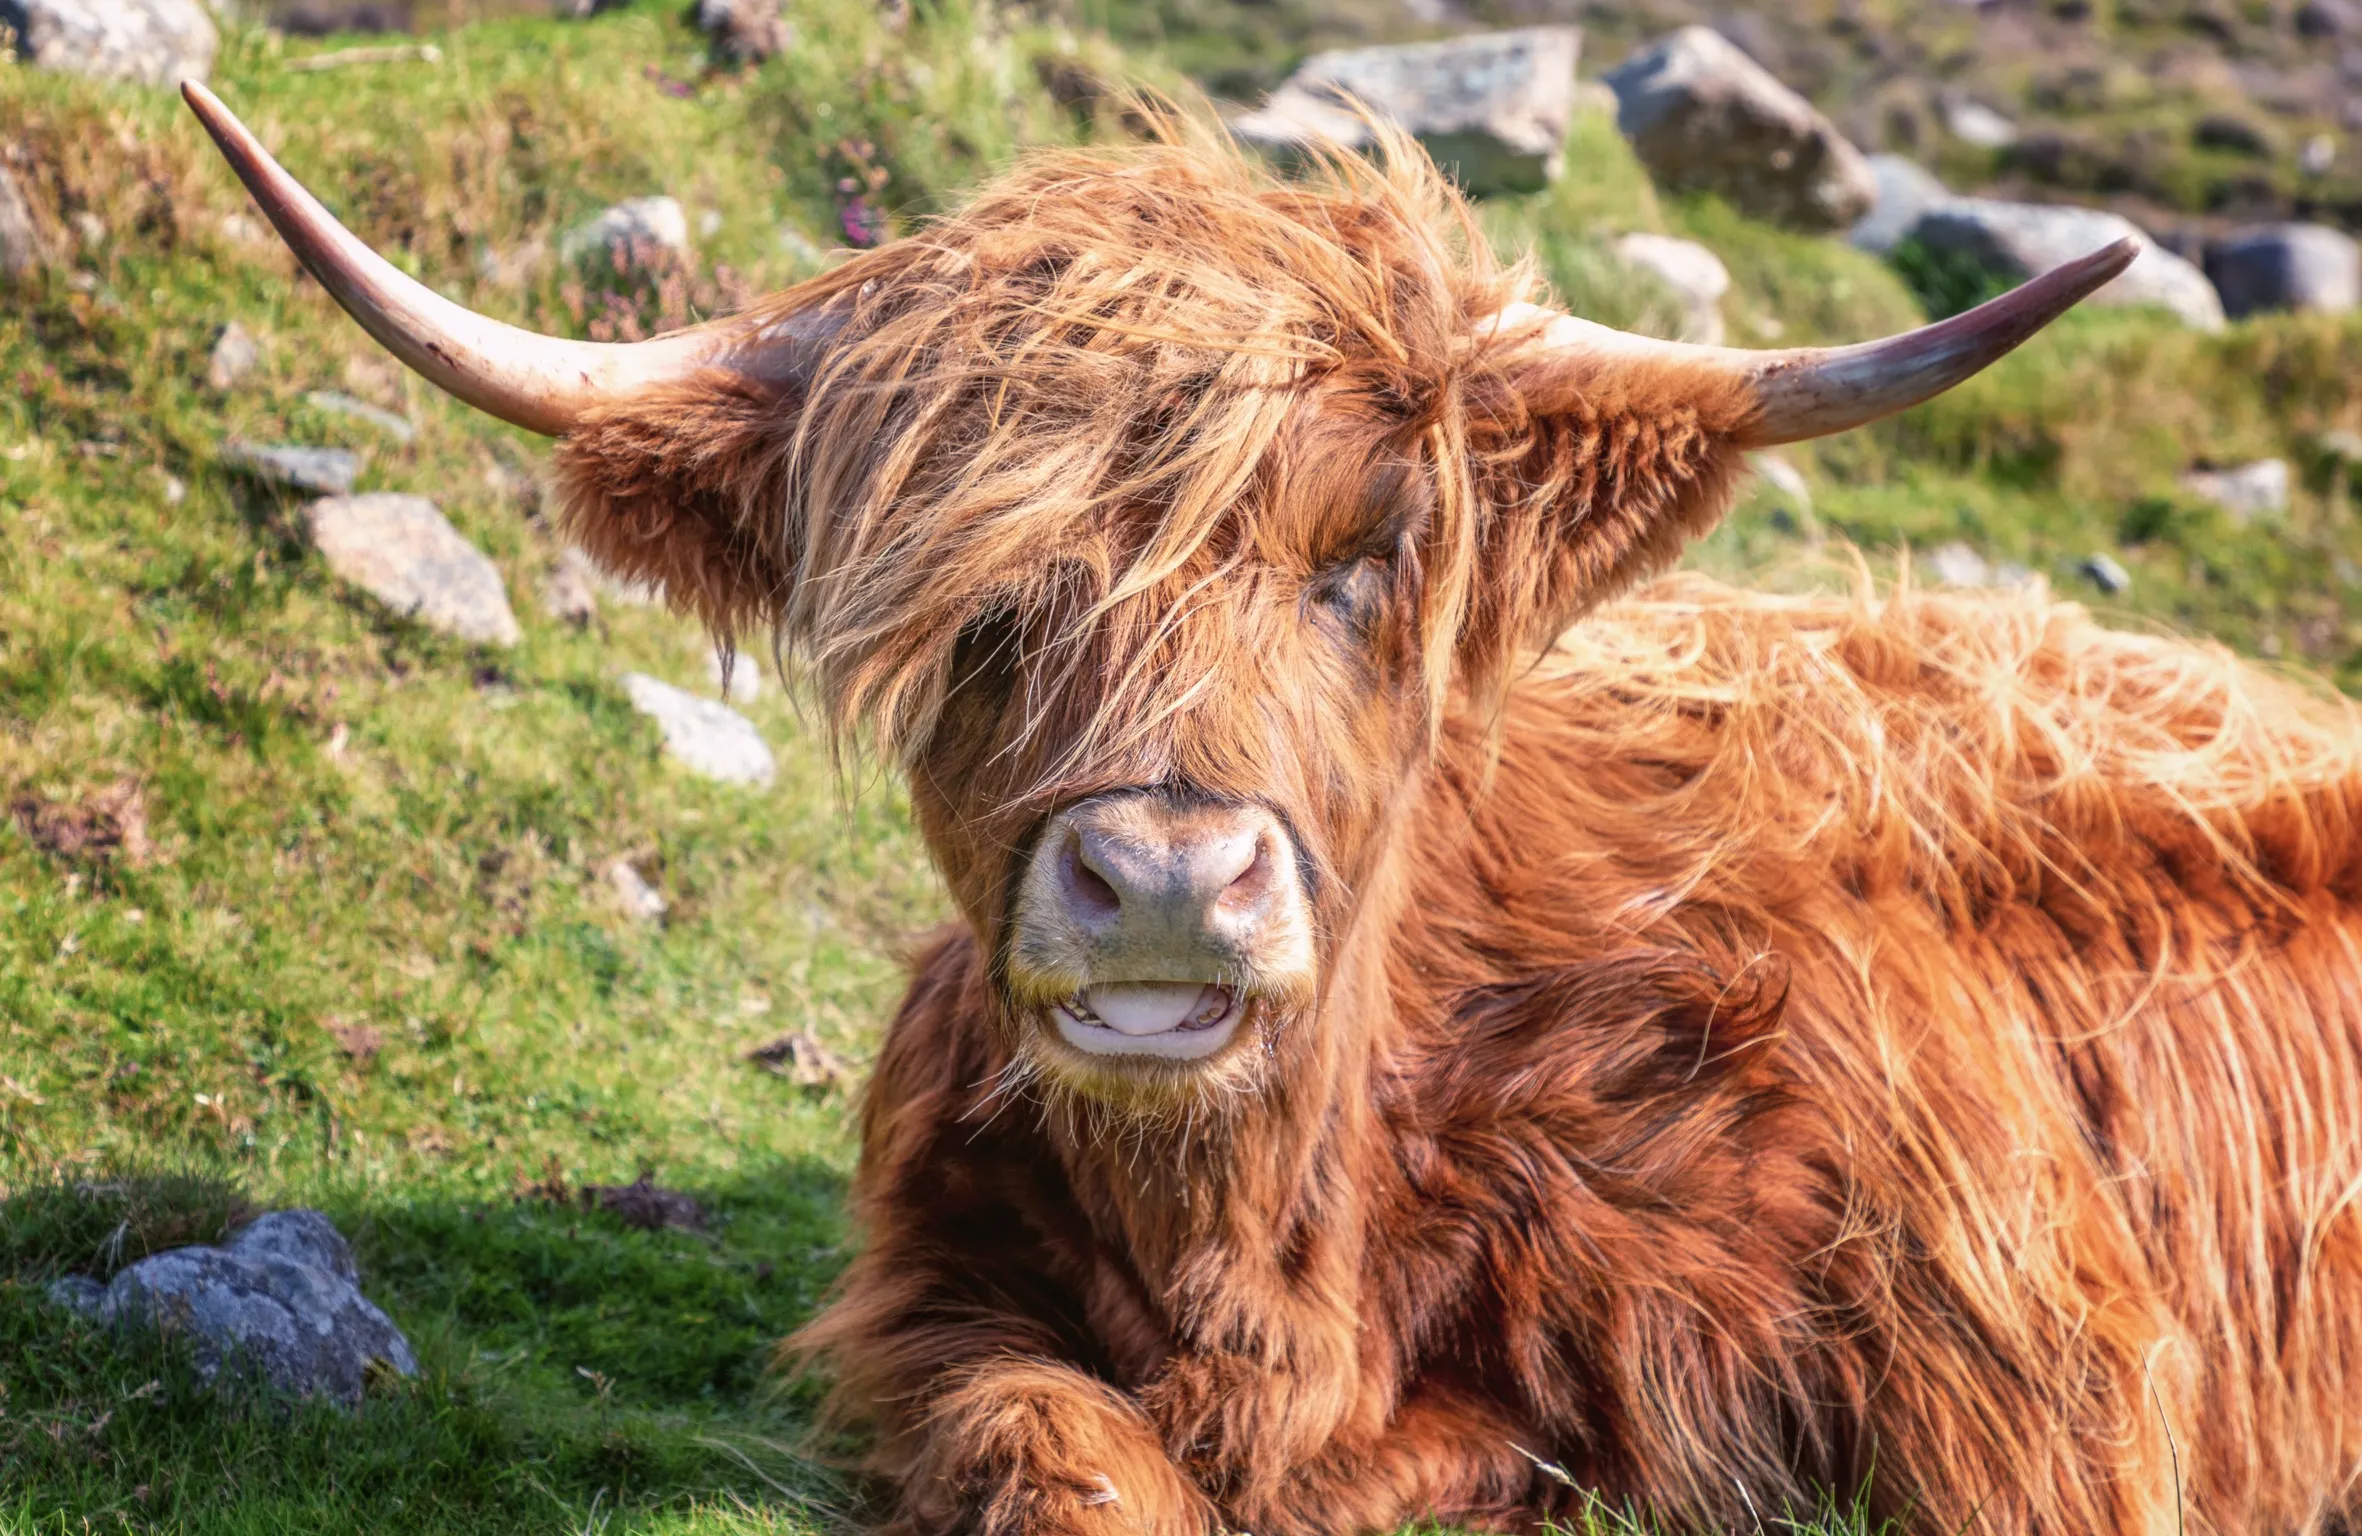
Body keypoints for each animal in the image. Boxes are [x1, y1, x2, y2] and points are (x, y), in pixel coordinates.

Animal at [186, 80, 2362, 1536]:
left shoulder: (2028, 1386)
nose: (1163, 882)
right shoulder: (927, 1299)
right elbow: (1058, 1456)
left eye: (1362, 555)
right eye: (975, 588)